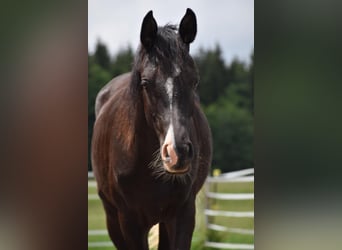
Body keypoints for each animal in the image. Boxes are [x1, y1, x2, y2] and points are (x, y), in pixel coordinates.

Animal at [92, 8, 212, 250]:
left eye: (194, 81)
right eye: (145, 82)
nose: (177, 153)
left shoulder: (183, 214)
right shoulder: (129, 221)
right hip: (113, 219)